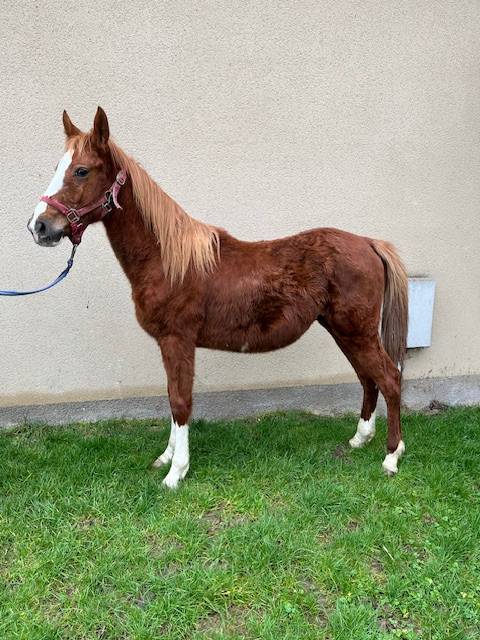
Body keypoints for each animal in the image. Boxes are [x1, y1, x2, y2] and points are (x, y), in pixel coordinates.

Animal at [27, 107, 408, 489]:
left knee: (389, 378)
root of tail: (368, 243)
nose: (39, 226)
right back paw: (360, 439)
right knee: (367, 378)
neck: (168, 260)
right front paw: (165, 458)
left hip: (356, 331)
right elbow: (171, 397)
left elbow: (180, 402)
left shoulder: (177, 340)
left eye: (81, 170)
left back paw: (392, 456)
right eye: (58, 167)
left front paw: (175, 473)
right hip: (343, 330)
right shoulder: (168, 344)